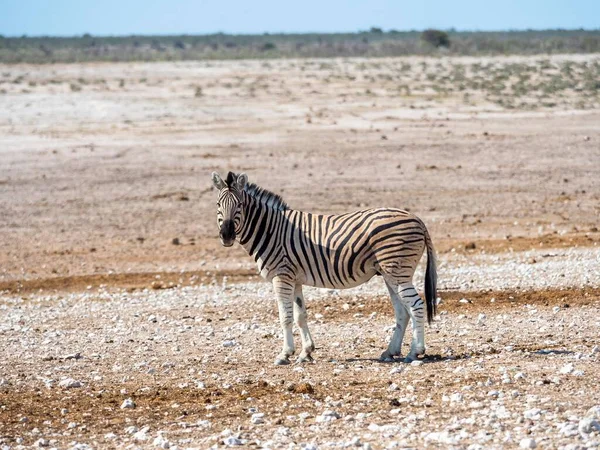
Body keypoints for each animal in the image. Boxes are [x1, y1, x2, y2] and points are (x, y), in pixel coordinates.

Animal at [211, 171, 436, 366]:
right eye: (218, 205)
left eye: (240, 205)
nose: (227, 236)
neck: (270, 230)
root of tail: (418, 219)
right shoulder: (295, 279)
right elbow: (300, 316)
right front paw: (306, 352)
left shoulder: (282, 276)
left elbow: (285, 317)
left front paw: (285, 354)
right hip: (390, 274)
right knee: (402, 311)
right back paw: (391, 351)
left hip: (398, 272)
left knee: (416, 305)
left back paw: (415, 351)